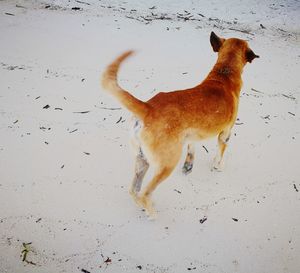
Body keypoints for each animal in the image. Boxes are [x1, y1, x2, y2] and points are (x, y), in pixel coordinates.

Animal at [102, 31, 258, 217]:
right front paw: (218, 166)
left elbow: (191, 148)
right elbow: (220, 154)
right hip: (167, 163)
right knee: (145, 192)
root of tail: (148, 108)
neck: (224, 73)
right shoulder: (225, 134)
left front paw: (188, 166)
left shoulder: (191, 135)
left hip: (142, 160)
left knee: (134, 190)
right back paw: (152, 213)